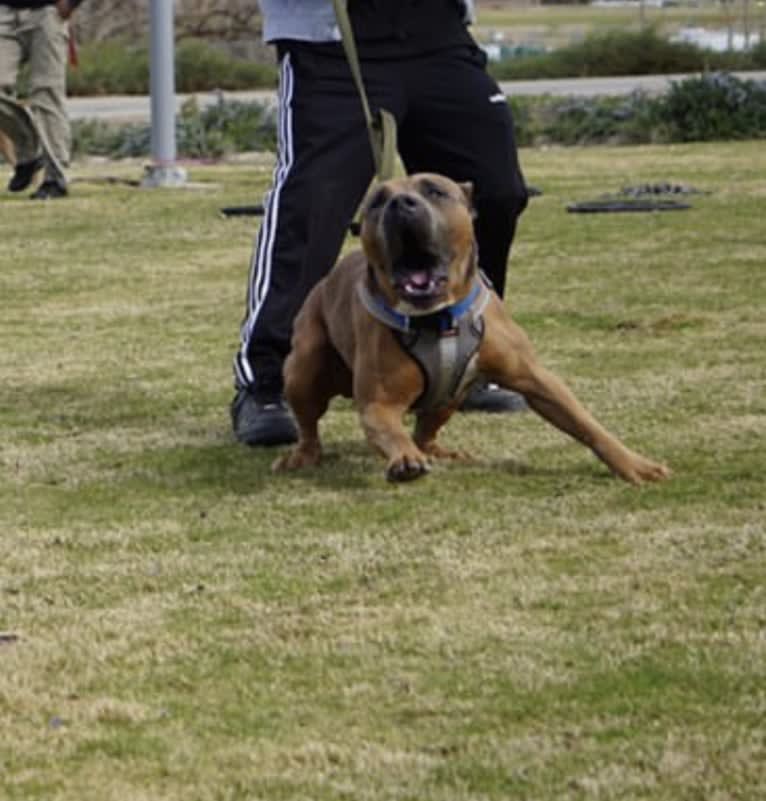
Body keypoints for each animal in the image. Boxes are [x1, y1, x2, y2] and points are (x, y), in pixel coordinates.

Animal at [276, 173, 672, 484]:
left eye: (435, 190)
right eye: (377, 201)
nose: (401, 204)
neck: (438, 319)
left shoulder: (538, 380)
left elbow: (585, 423)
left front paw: (633, 464)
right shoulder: (379, 402)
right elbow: (390, 432)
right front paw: (403, 459)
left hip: (452, 396)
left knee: (425, 431)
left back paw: (439, 451)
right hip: (304, 368)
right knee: (309, 424)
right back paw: (303, 456)